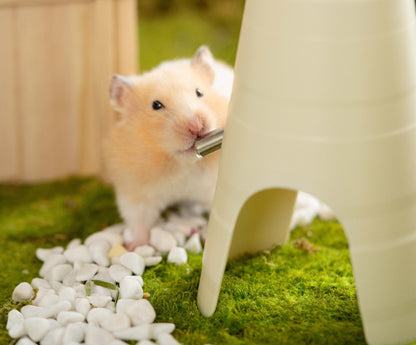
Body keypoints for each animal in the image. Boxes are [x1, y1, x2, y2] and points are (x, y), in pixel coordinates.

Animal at [104, 46, 234, 250]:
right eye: (156, 105)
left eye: (199, 92)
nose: (197, 126)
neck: (182, 164)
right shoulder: (134, 192)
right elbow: (138, 220)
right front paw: (135, 246)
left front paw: (205, 235)